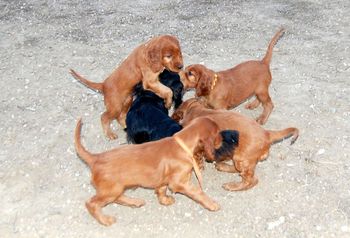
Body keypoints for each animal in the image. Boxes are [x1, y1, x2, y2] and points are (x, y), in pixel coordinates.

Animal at [74, 117, 224, 227]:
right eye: (217, 133)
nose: (223, 139)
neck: (182, 144)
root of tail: (96, 158)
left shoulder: (164, 179)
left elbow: (161, 189)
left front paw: (164, 200)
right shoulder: (179, 182)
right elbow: (198, 192)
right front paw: (212, 204)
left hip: (115, 188)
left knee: (118, 198)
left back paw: (135, 202)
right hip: (110, 190)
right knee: (92, 203)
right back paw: (105, 220)